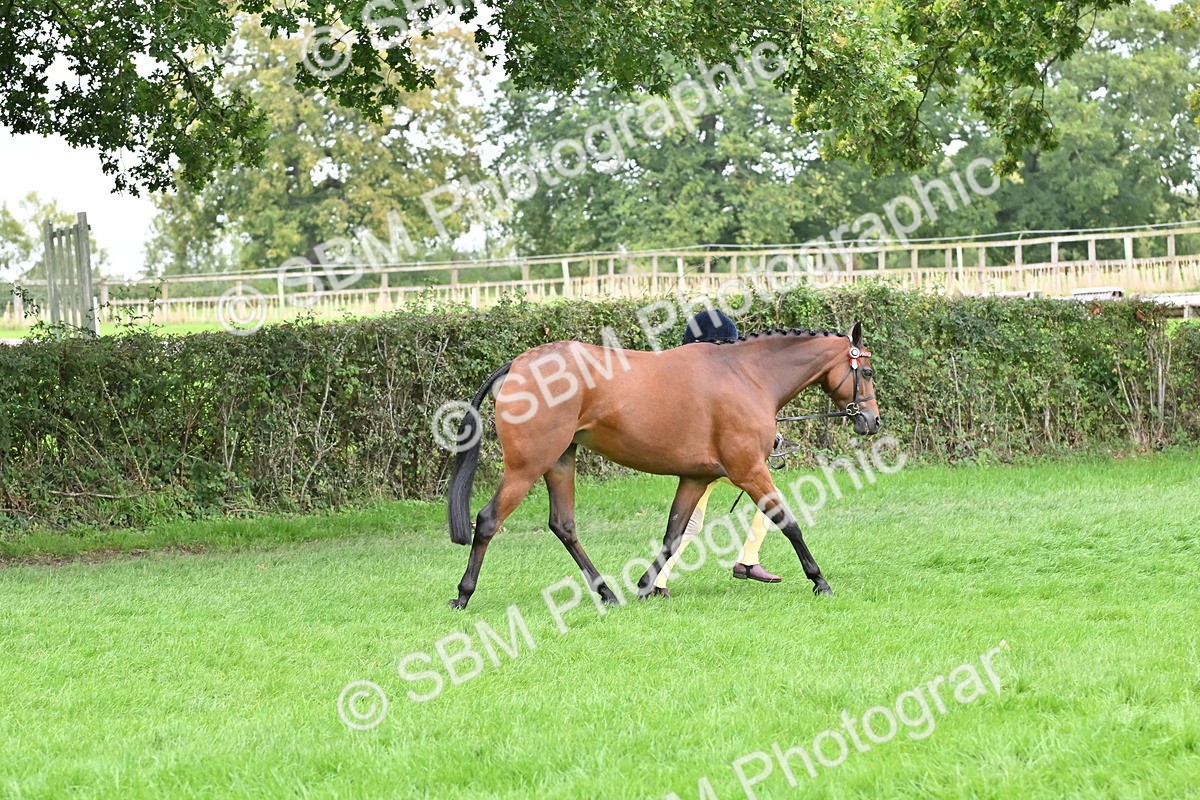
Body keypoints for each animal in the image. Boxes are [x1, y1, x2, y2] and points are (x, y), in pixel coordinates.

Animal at [446, 322, 882, 609]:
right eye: (868, 371)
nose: (873, 420)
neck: (746, 375)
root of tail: (520, 364)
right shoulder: (749, 471)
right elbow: (787, 521)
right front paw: (819, 580)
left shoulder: (695, 477)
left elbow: (674, 535)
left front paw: (645, 586)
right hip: (526, 467)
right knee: (488, 520)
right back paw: (463, 594)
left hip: (560, 462)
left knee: (564, 526)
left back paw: (608, 593)